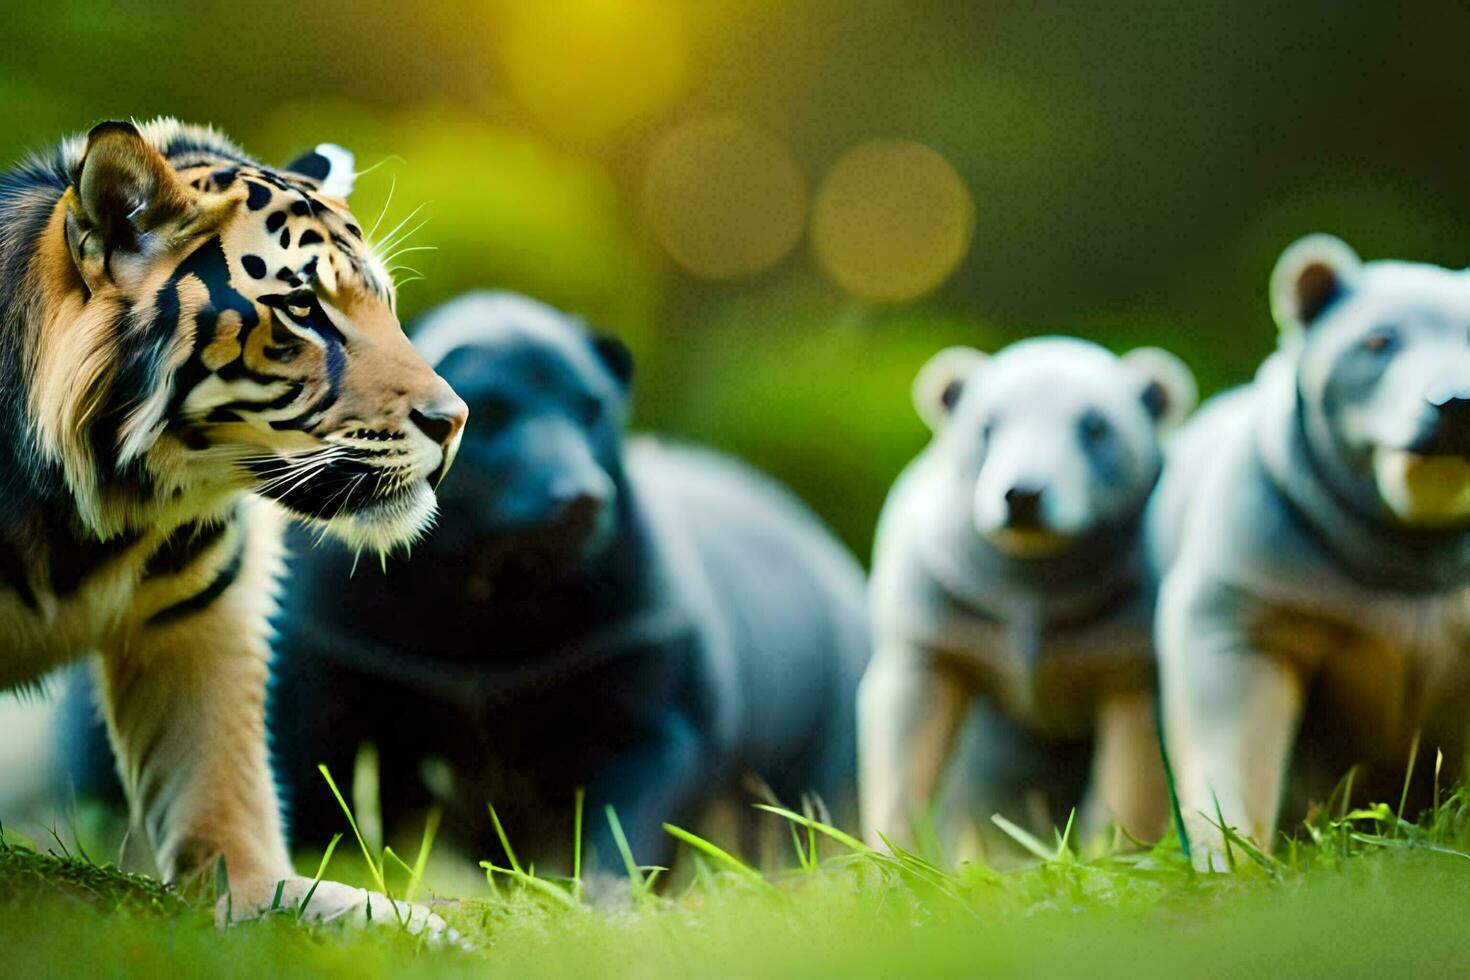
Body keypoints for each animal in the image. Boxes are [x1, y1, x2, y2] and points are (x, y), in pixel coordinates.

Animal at [0, 120, 464, 934]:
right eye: (304, 306)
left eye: (386, 303)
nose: (456, 420)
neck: (95, 518)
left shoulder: (204, 621)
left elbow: (256, 874)